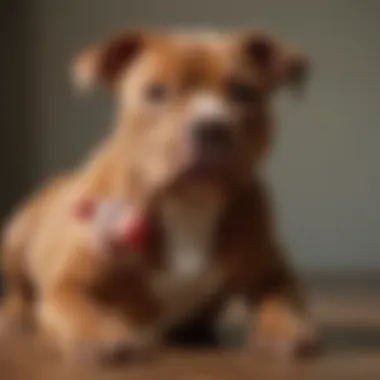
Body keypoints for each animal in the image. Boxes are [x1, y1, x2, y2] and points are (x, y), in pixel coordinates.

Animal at [0, 27, 314, 362]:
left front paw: (284, 328)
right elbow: (76, 305)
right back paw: (15, 315)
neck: (187, 203)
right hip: (16, 236)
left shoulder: (273, 272)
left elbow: (281, 297)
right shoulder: (67, 284)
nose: (211, 127)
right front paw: (99, 333)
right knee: (21, 290)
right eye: (156, 92)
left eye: (245, 93)